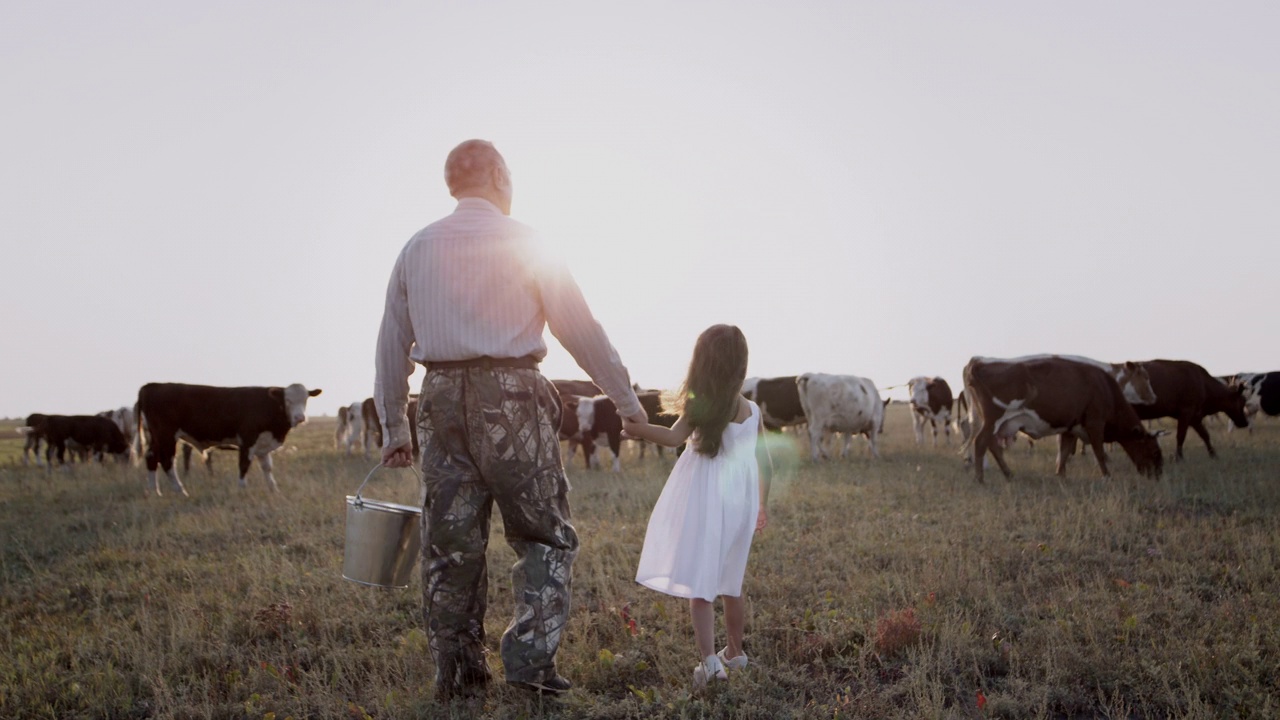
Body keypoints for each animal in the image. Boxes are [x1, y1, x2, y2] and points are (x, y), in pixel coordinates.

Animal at [134, 381, 322, 491]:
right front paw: (242, 489)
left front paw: (273, 490)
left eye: (305, 400)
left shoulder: (263, 444)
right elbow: (244, 465)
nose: (300, 418)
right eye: (287, 400)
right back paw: (180, 491)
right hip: (166, 435)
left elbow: (267, 467)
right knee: (167, 461)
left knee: (151, 458)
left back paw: (154, 491)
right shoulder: (247, 441)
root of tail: (150, 386)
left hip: (155, 437)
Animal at [962, 353, 1167, 481]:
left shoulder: (1070, 427)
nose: (1158, 475)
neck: (1105, 387)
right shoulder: (1095, 424)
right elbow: (1099, 452)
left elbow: (1065, 451)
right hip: (992, 420)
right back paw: (980, 479)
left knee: (992, 446)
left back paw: (1008, 474)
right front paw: (1107, 475)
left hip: (994, 423)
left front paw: (1061, 475)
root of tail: (979, 363)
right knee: (980, 443)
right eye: (1155, 452)